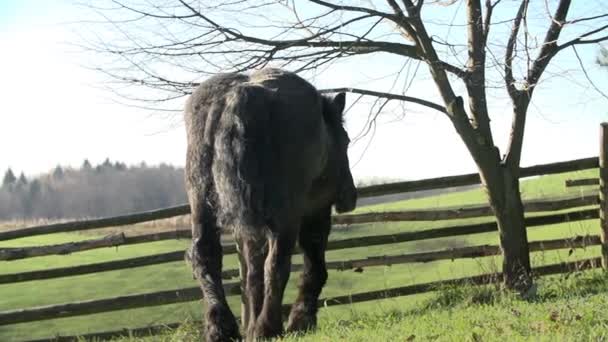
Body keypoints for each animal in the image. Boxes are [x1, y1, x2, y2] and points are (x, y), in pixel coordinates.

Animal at [184, 68, 356, 340]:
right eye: (347, 140)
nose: (350, 195)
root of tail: (236, 96)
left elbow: (253, 275)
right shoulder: (316, 210)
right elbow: (313, 264)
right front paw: (301, 320)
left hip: (202, 203)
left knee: (206, 256)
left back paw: (222, 328)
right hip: (287, 216)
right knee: (276, 264)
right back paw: (267, 327)